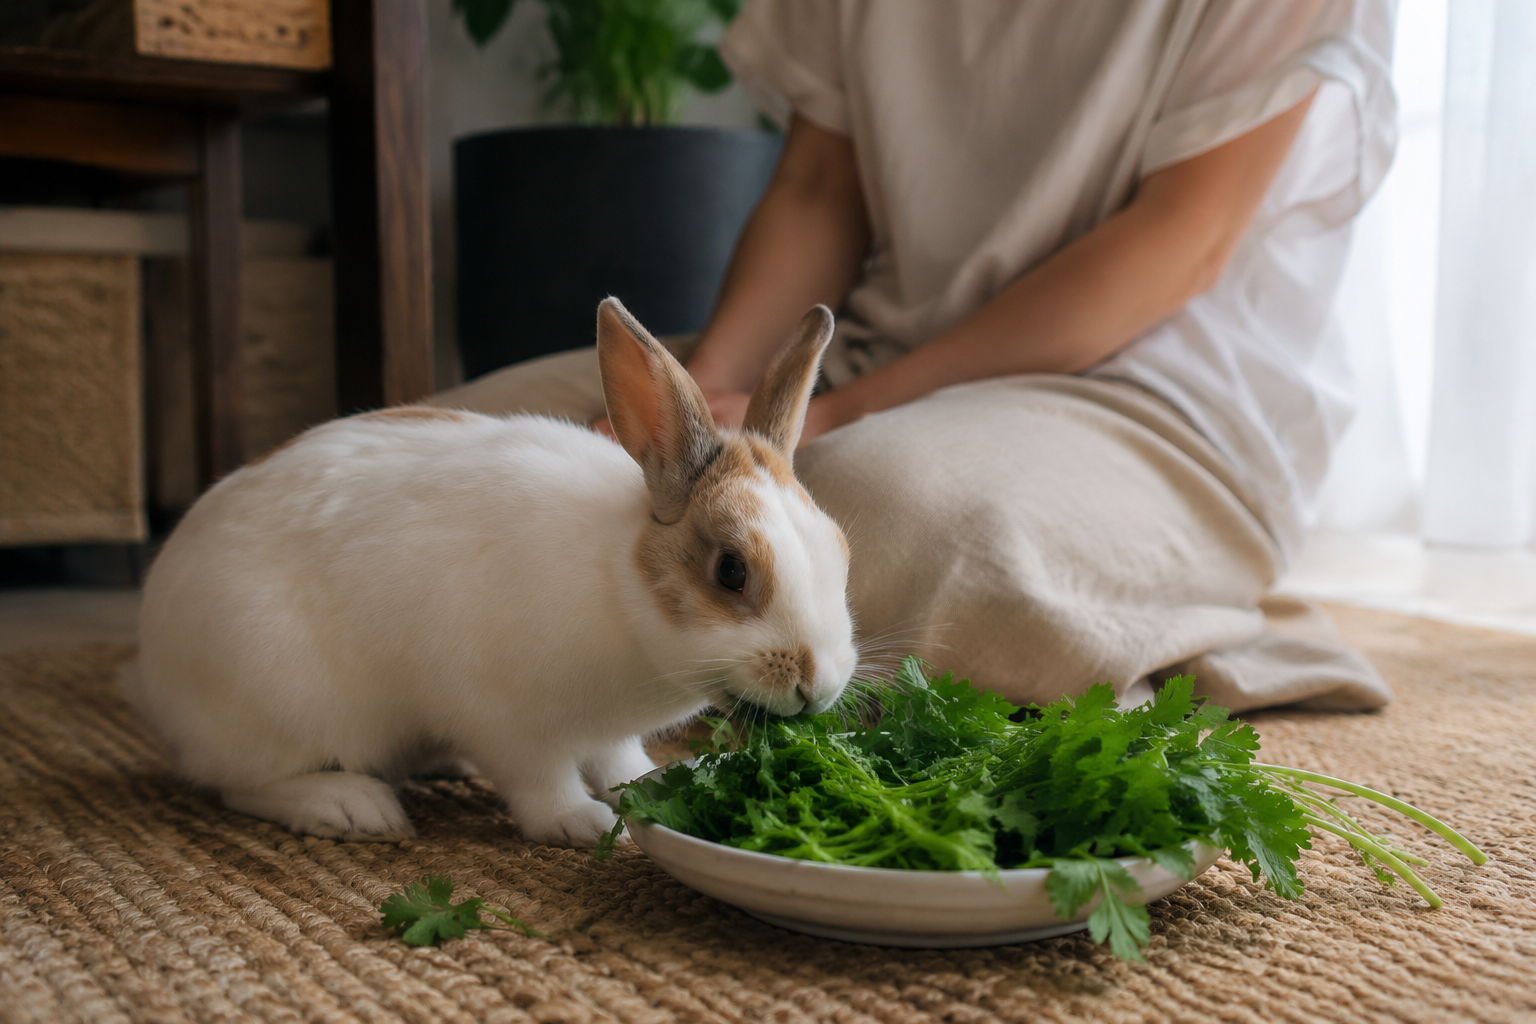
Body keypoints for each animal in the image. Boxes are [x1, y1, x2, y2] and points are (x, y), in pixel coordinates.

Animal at [131, 298, 857, 847]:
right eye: (731, 571)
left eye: (841, 550)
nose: (816, 685)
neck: (618, 586)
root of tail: (155, 669)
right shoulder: (503, 720)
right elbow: (542, 782)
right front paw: (587, 824)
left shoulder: (604, 732)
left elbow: (618, 759)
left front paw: (638, 789)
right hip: (283, 705)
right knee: (243, 784)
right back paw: (352, 807)